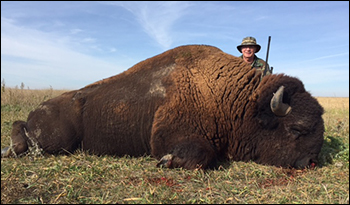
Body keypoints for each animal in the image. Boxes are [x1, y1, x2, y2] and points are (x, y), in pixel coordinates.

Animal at [1, 44, 324, 170]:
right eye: (297, 128)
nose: (311, 162)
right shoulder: (172, 133)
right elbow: (197, 155)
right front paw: (167, 161)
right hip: (57, 138)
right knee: (23, 129)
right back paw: (13, 149)